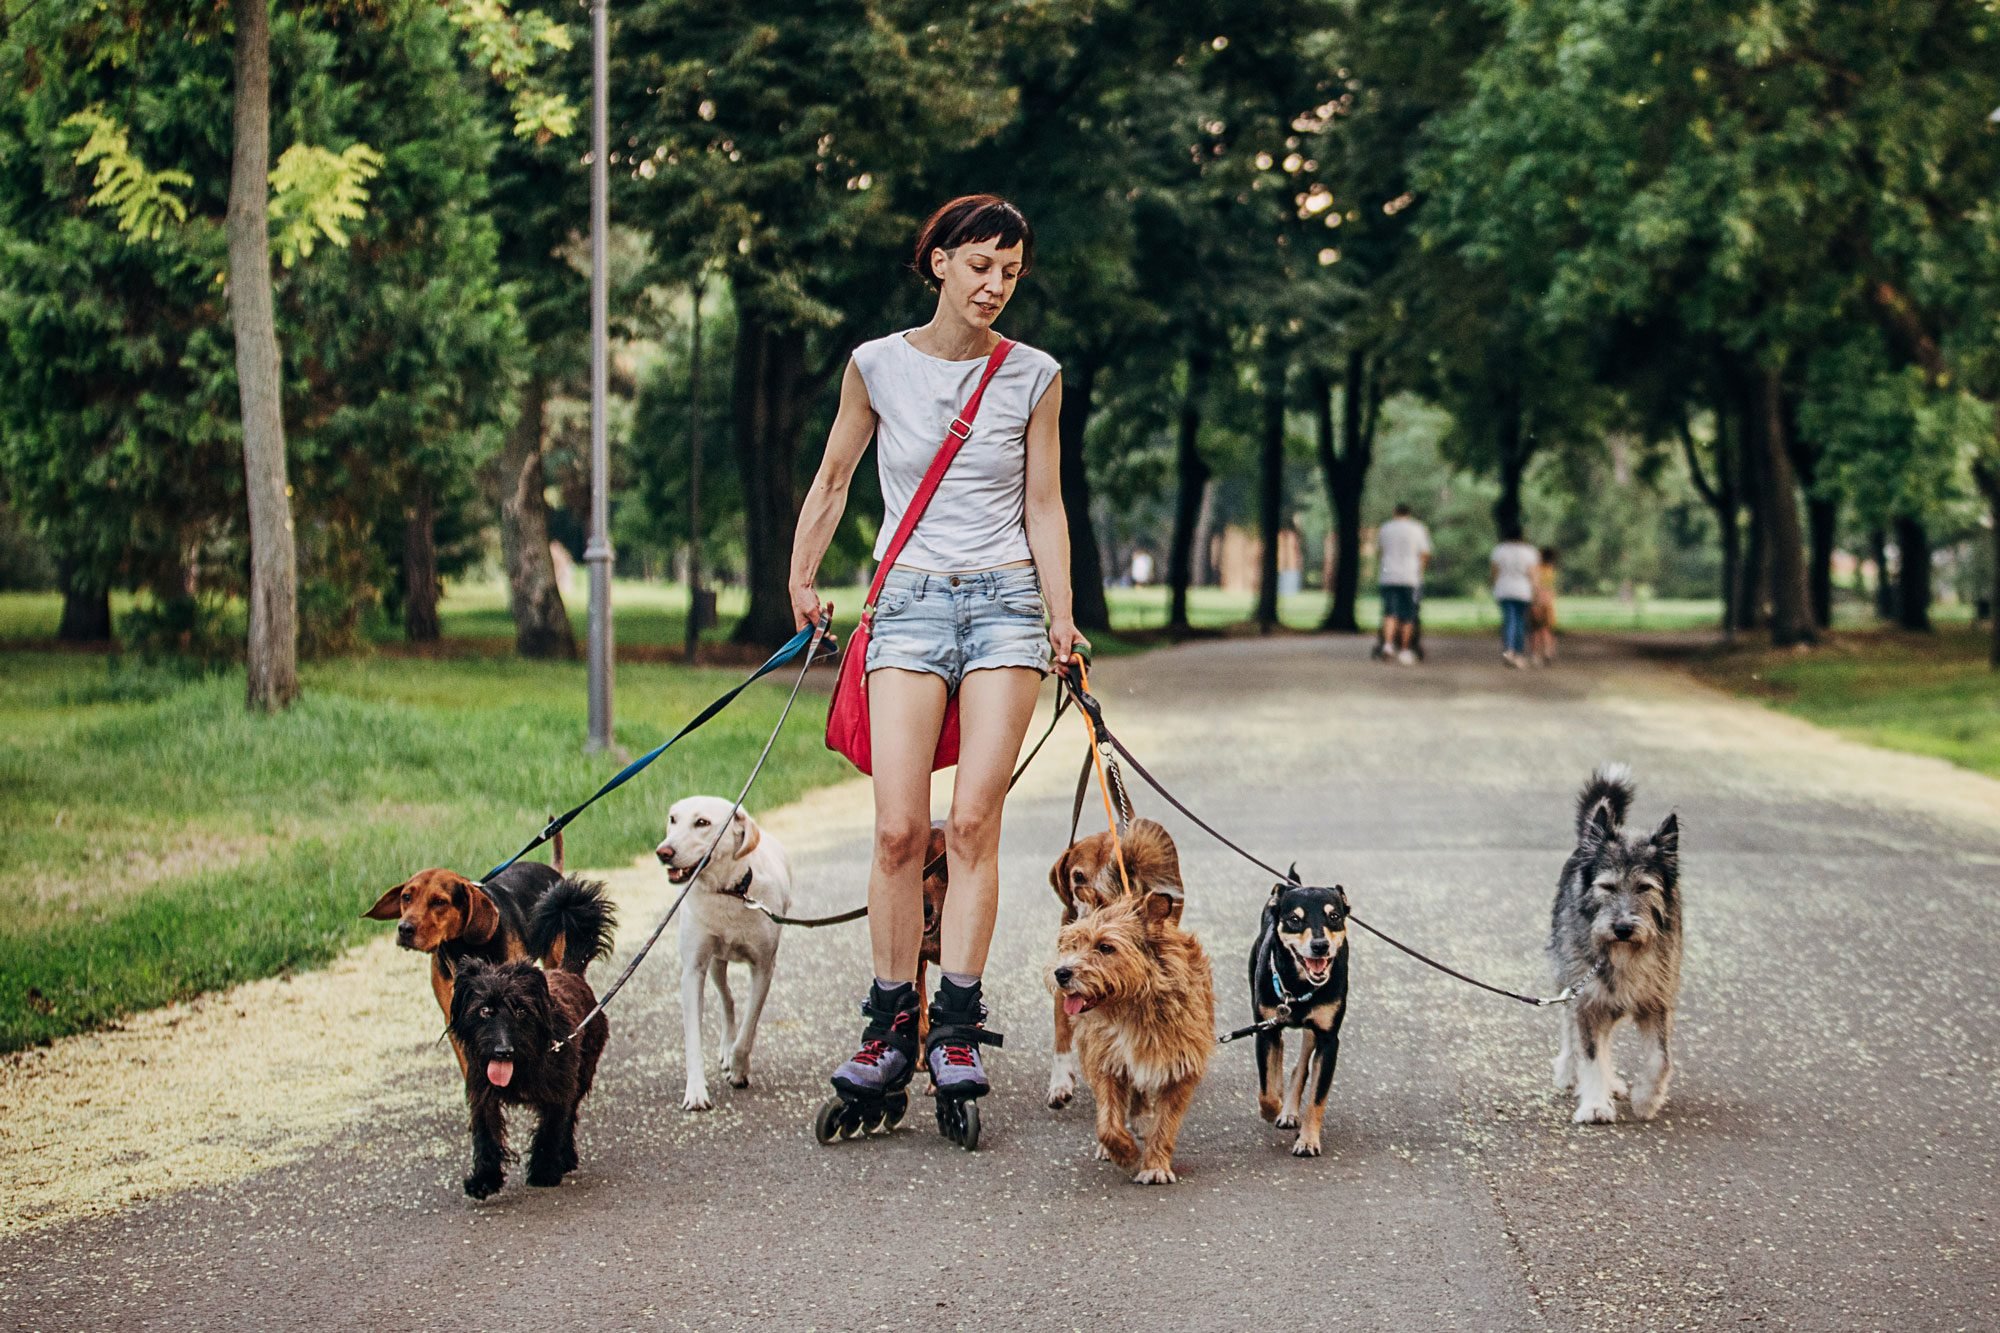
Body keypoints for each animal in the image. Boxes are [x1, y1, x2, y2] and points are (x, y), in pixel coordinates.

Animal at [450, 956, 604, 1192]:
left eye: (521, 1011)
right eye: (485, 1010)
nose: (503, 1052)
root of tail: (570, 972)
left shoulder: (558, 1093)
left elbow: (550, 1130)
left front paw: (544, 1172)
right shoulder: (482, 1095)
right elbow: (486, 1134)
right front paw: (484, 1179)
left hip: (581, 1077)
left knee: (570, 1117)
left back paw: (566, 1157)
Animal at [1048, 888, 1216, 1176]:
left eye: (1106, 947)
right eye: (1073, 944)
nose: (1061, 972)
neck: (1134, 1007)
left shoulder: (1180, 1068)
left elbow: (1165, 1123)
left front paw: (1155, 1165)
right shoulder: (1106, 1060)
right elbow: (1107, 1120)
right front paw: (1123, 1151)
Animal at [1552, 756, 1680, 1120]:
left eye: (1645, 887)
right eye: (1607, 886)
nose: (1623, 928)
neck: (1624, 953)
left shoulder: (1656, 1000)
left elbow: (1661, 1058)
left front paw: (1647, 1098)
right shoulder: (1587, 999)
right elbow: (1591, 1054)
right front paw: (1595, 1105)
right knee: (1571, 1033)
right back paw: (1568, 1072)